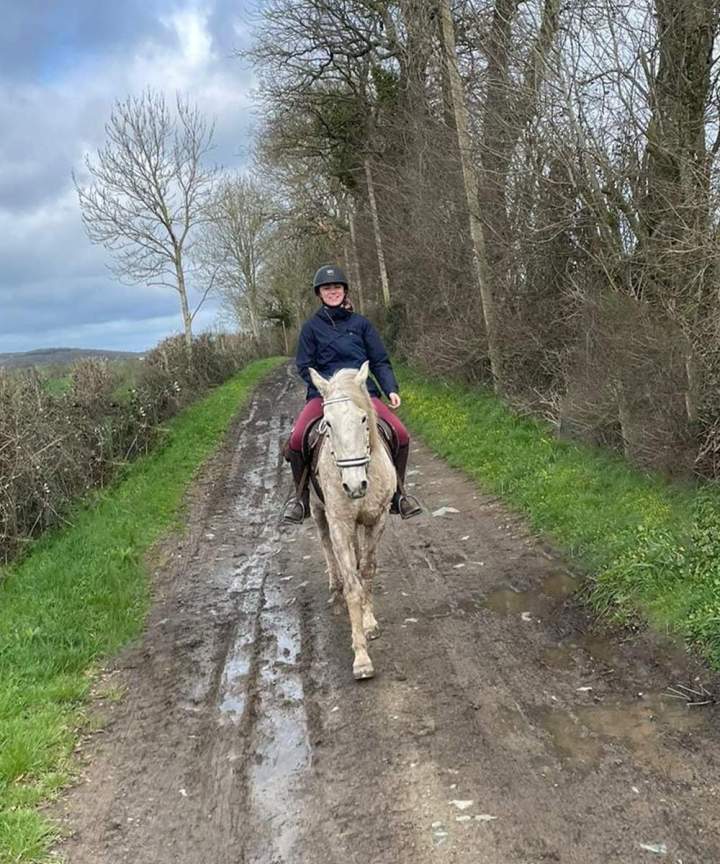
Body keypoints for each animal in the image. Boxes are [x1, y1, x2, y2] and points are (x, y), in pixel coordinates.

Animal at [308, 362, 397, 680]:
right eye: (328, 424)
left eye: (362, 418)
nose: (355, 486)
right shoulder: (340, 525)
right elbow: (352, 586)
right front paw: (361, 658)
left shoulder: (377, 518)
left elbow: (367, 571)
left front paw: (369, 624)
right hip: (317, 511)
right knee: (325, 546)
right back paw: (334, 588)